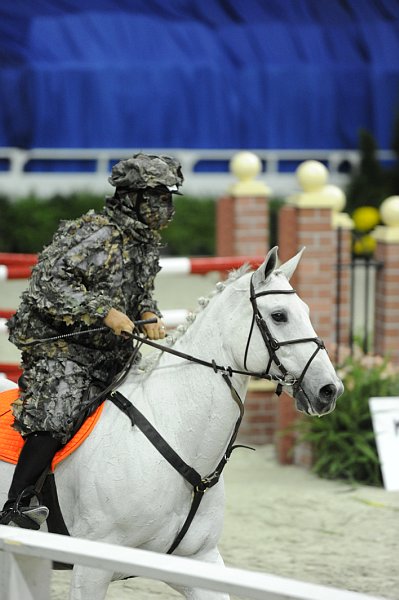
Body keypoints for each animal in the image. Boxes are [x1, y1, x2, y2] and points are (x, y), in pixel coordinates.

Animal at [0, 246, 344, 596]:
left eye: (306, 311)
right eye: (279, 315)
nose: (329, 390)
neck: (175, 434)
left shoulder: (198, 560)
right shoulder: (90, 569)